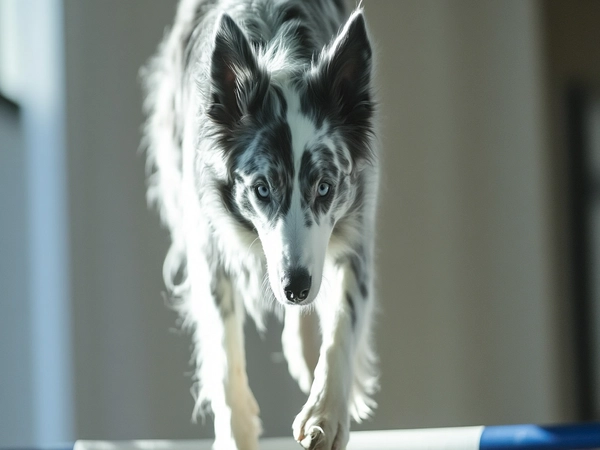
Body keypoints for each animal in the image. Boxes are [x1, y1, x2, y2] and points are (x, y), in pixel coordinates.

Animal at [141, 1, 380, 448]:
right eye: (262, 189)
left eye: (325, 187)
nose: (294, 287)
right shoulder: (207, 243)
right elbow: (222, 351)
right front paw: (237, 432)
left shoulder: (355, 224)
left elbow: (343, 320)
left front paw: (325, 414)